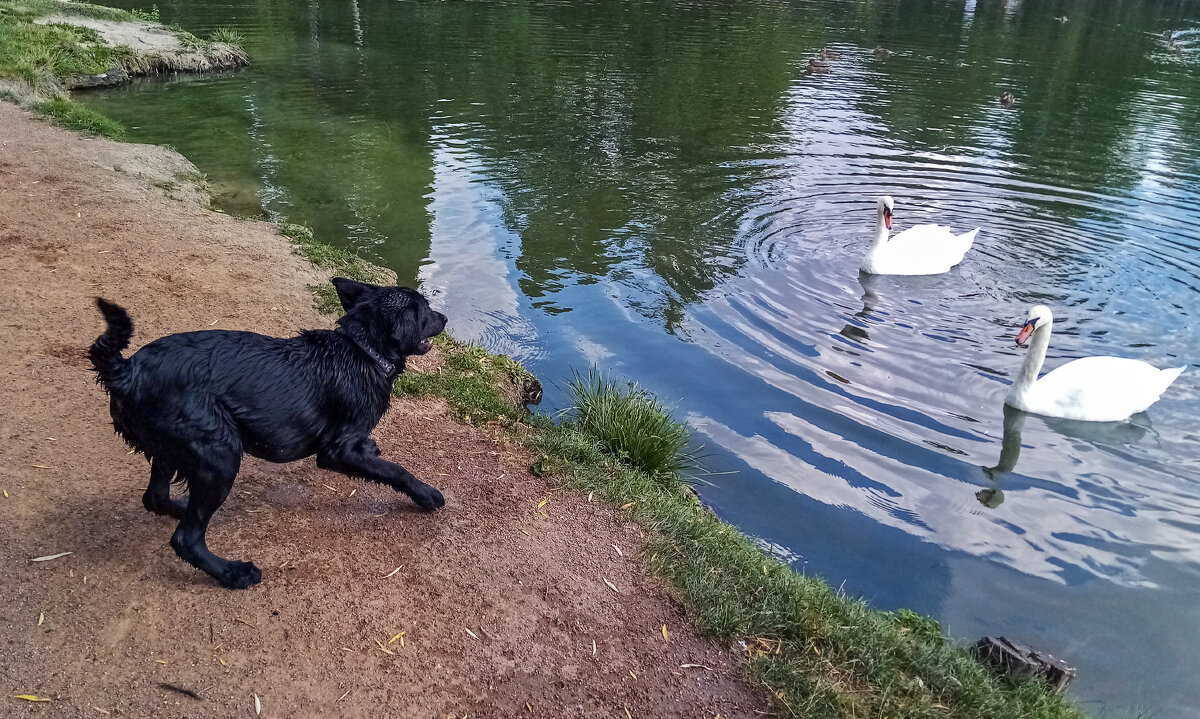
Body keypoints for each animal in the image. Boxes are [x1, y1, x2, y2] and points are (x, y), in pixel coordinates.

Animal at [87, 278, 446, 588]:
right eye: (426, 310)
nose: (444, 317)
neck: (361, 350)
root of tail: (126, 370)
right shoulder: (337, 450)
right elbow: (395, 470)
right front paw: (426, 493)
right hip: (219, 454)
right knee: (186, 538)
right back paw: (233, 573)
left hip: (175, 450)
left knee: (156, 498)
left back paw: (182, 506)